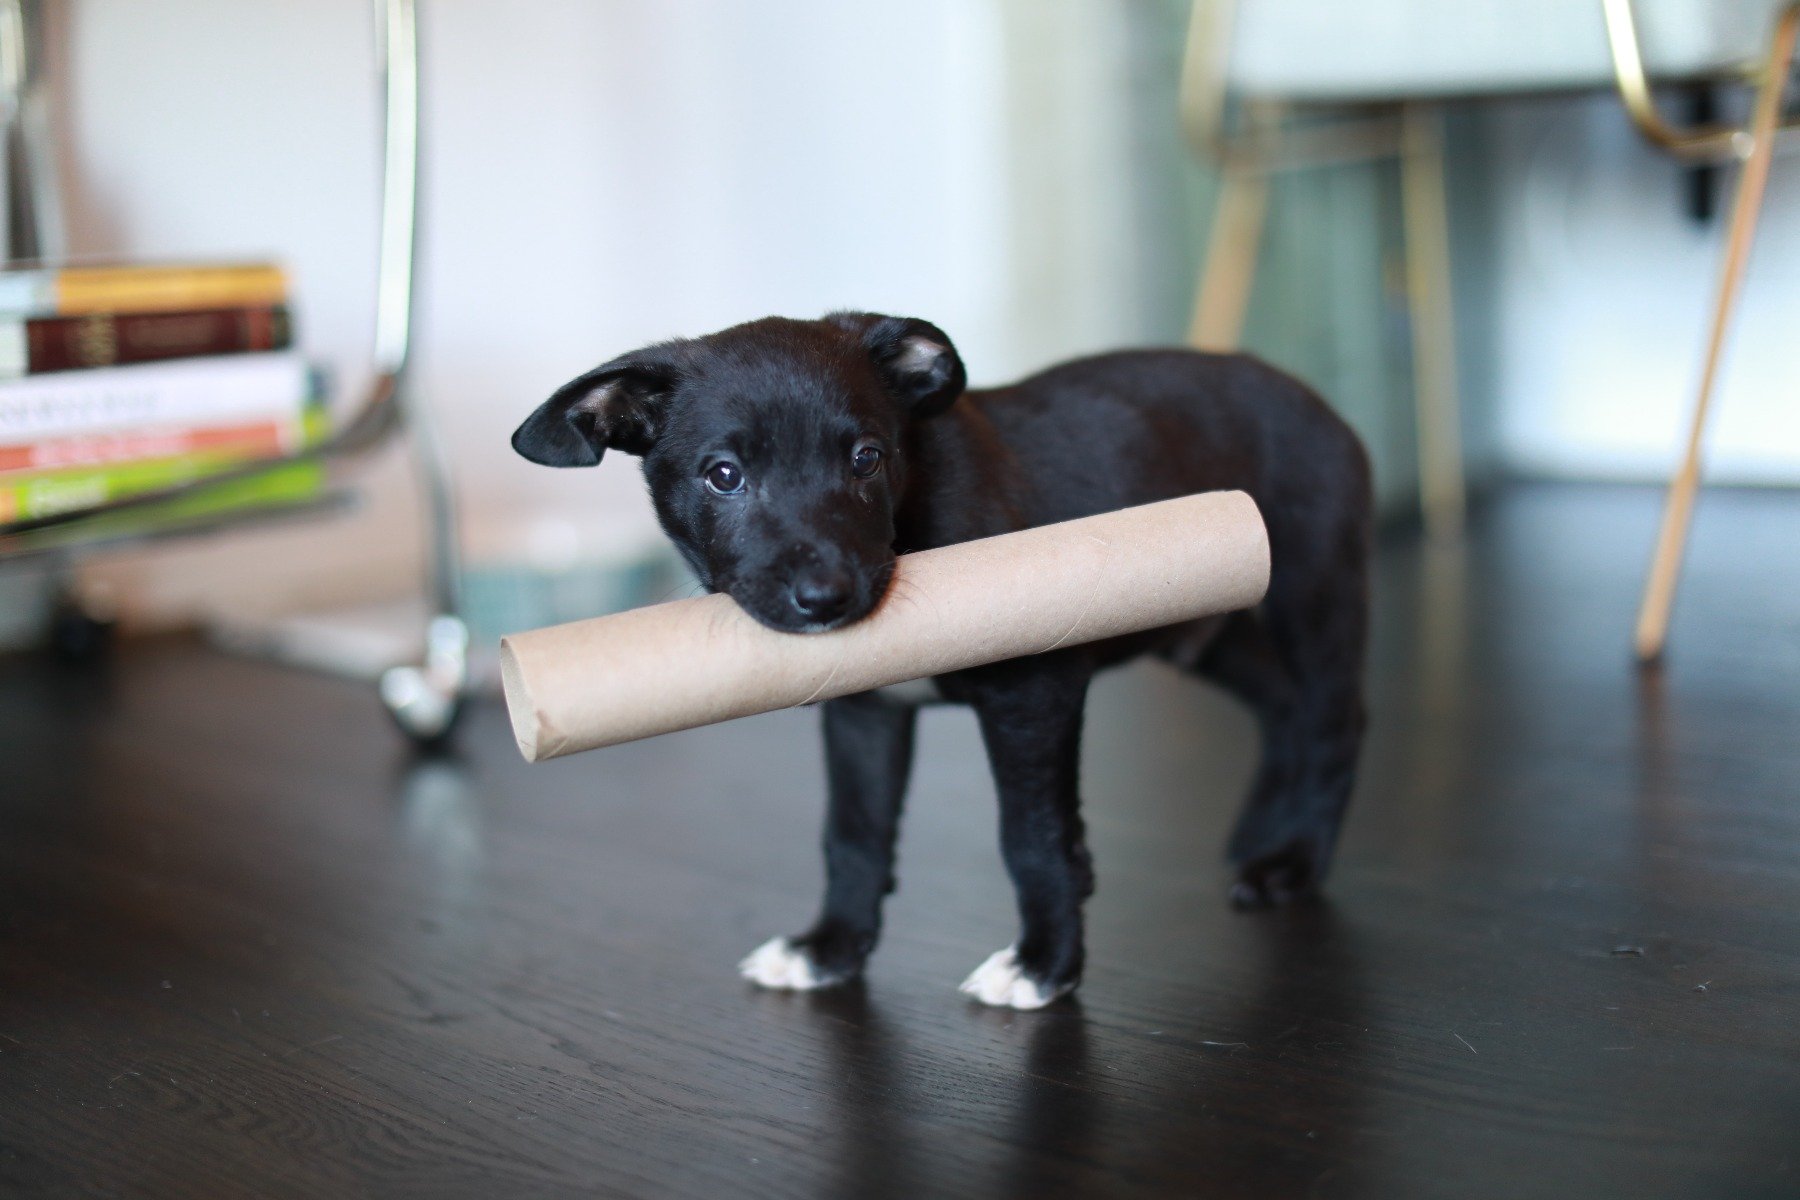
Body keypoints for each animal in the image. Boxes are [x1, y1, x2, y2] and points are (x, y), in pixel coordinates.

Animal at [514, 314, 1368, 1007]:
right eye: (724, 476)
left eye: (866, 458)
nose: (827, 598)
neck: (914, 516)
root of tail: (1319, 403)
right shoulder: (863, 712)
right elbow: (853, 834)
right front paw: (830, 949)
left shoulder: (1035, 691)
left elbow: (1033, 837)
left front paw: (1045, 965)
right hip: (1205, 627)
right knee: (1284, 708)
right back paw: (1262, 835)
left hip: (1310, 590)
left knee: (1332, 720)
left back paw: (1292, 862)